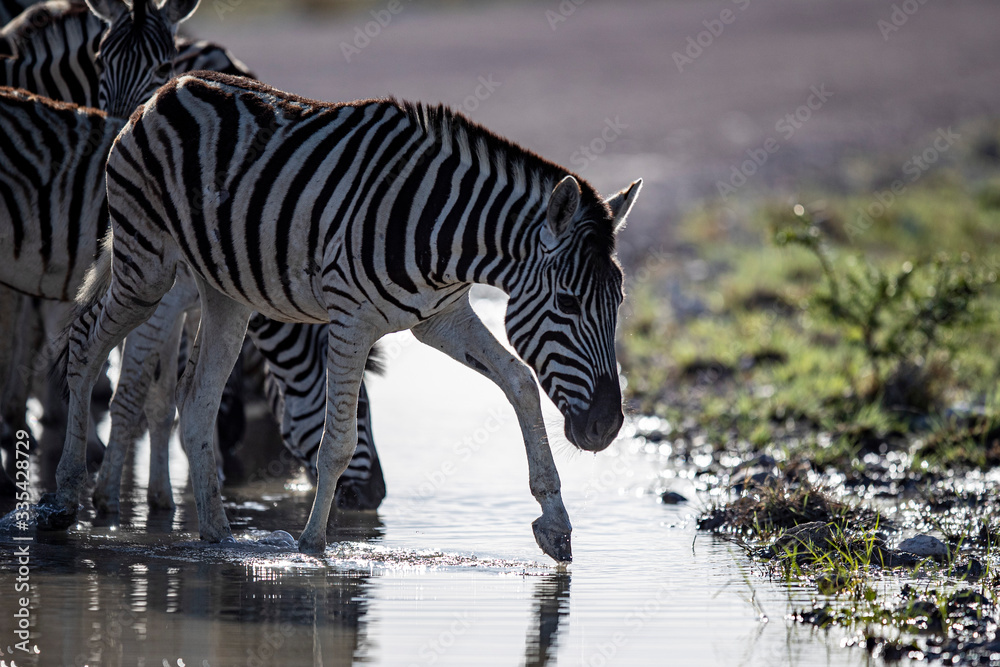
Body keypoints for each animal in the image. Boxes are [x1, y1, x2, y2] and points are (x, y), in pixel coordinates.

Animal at [48, 71, 641, 562]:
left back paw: (218, 537)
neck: (445, 232)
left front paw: (555, 522)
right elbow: (337, 442)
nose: (607, 427)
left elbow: (520, 382)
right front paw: (313, 548)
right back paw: (66, 497)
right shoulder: (352, 320)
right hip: (146, 267)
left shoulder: (441, 318)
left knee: (193, 402)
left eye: (617, 304)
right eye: (568, 304)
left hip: (223, 294)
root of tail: (166, 90)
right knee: (84, 344)